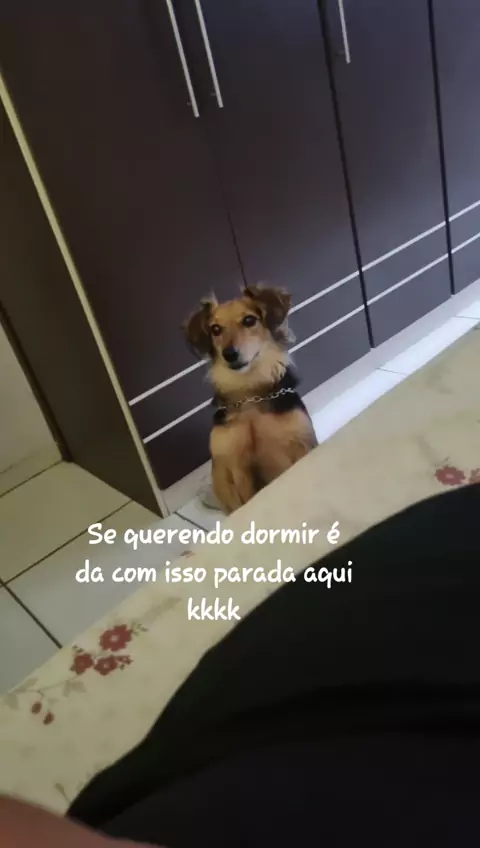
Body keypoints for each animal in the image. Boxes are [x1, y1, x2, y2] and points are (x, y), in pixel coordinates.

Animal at [184, 285, 318, 514]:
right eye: (215, 329)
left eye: (249, 320)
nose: (229, 354)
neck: (250, 396)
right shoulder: (235, 466)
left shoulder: (301, 447)